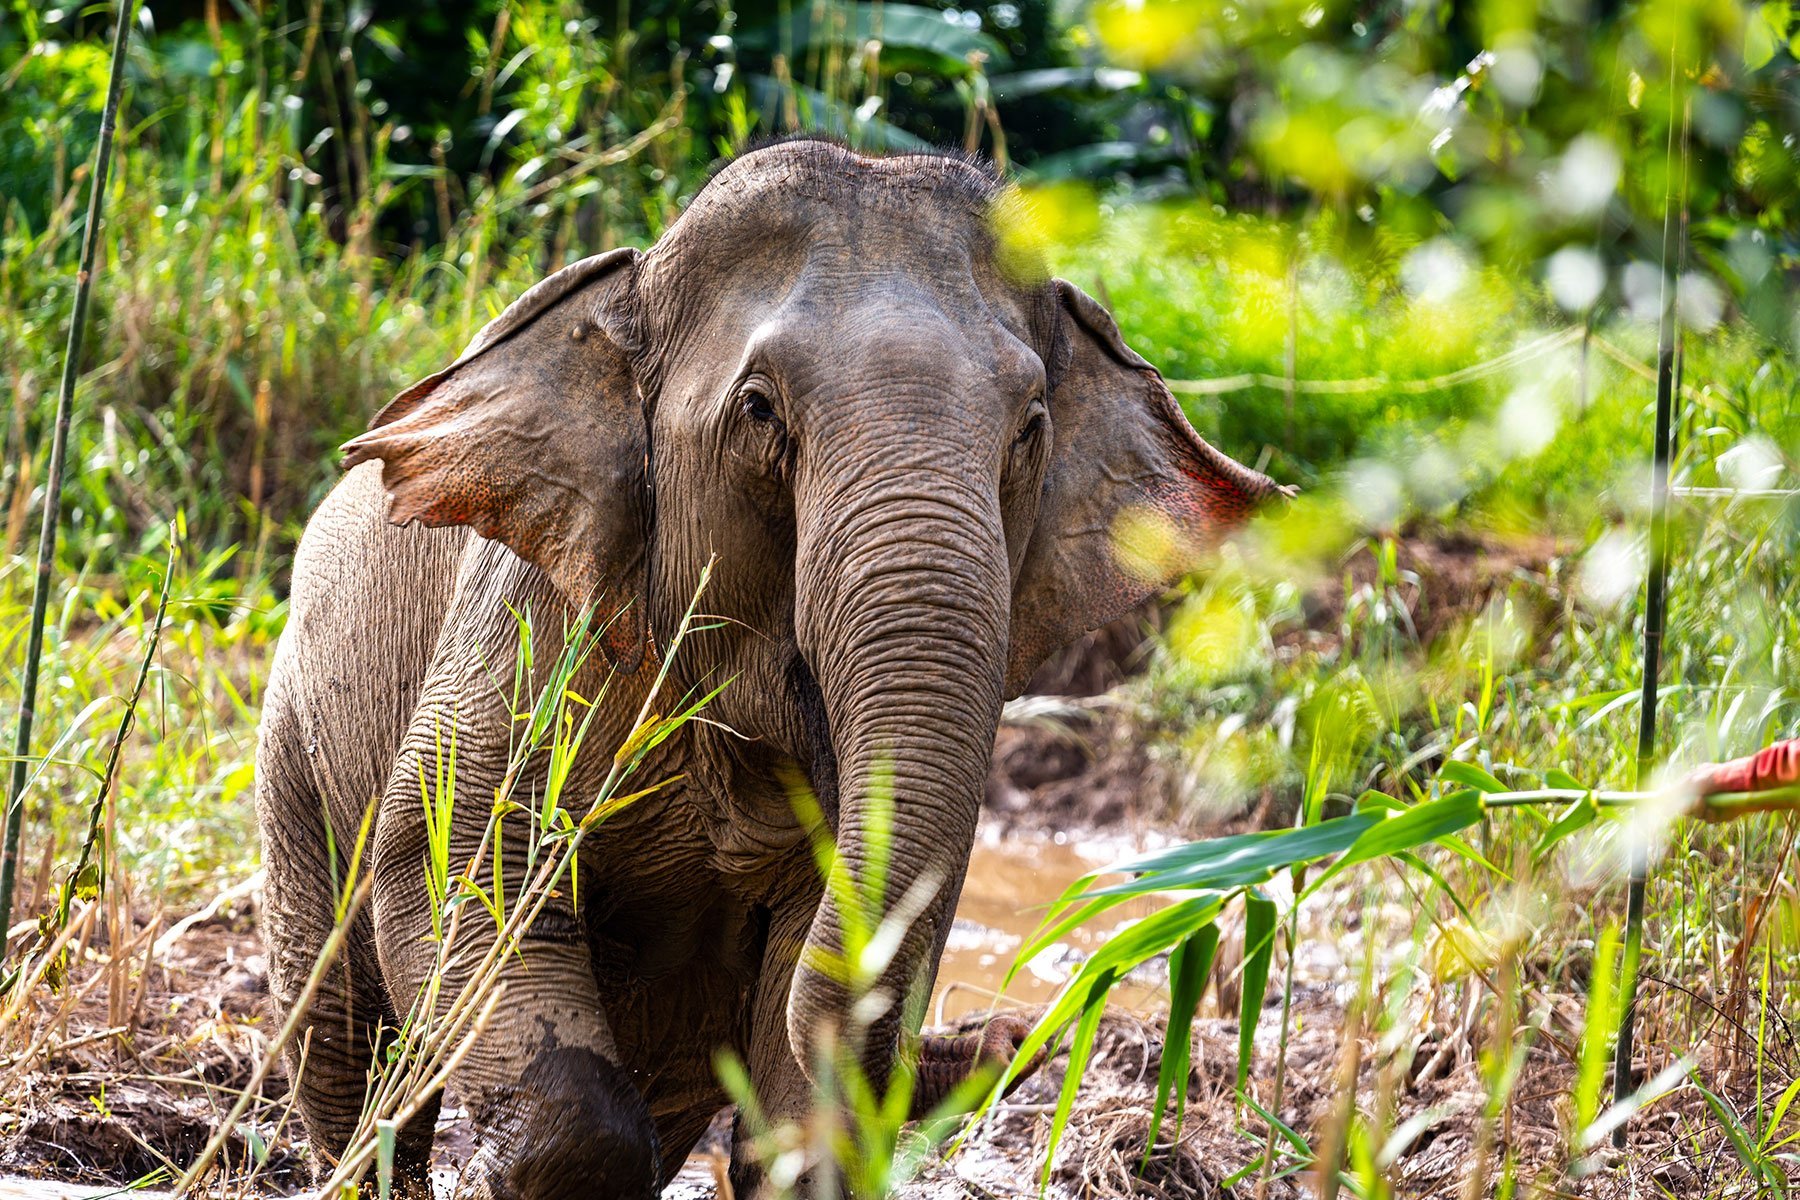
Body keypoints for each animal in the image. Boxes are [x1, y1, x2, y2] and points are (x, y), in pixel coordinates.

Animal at [253, 135, 1288, 1194]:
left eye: (1032, 425)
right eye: (758, 411)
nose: (997, 1035)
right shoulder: (530, 618)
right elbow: (454, 857)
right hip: (293, 759)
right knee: (342, 1042)